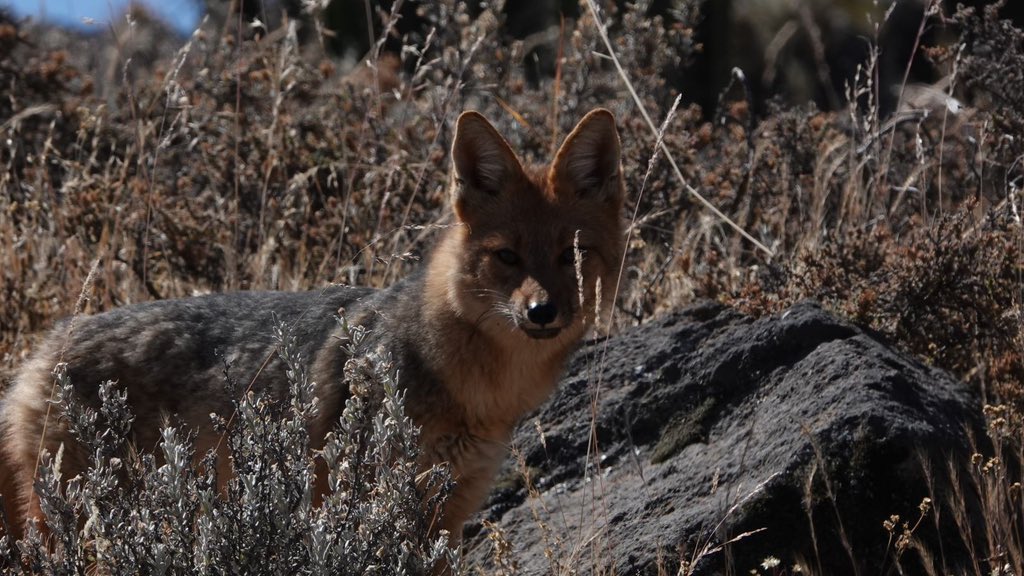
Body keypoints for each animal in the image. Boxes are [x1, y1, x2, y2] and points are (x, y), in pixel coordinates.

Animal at [0, 108, 625, 551]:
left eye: (572, 256)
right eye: (508, 257)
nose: (542, 312)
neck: (476, 391)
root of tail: (44, 348)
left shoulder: (444, 517)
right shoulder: (349, 502)